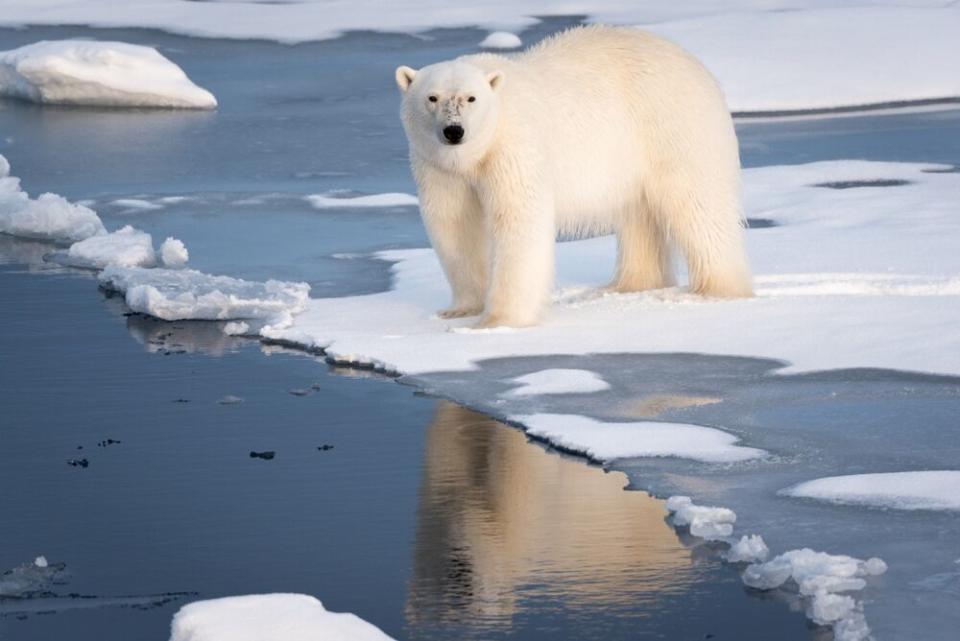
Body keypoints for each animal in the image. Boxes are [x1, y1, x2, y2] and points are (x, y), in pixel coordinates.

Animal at [394, 25, 752, 328]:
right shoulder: (438, 166)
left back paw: (715, 289)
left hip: (672, 127)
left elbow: (518, 221)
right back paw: (626, 285)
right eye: (432, 97)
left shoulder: (514, 147)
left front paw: (499, 320)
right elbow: (454, 225)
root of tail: (698, 67)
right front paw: (461, 309)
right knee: (639, 215)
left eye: (471, 98)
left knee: (698, 206)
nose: (454, 131)